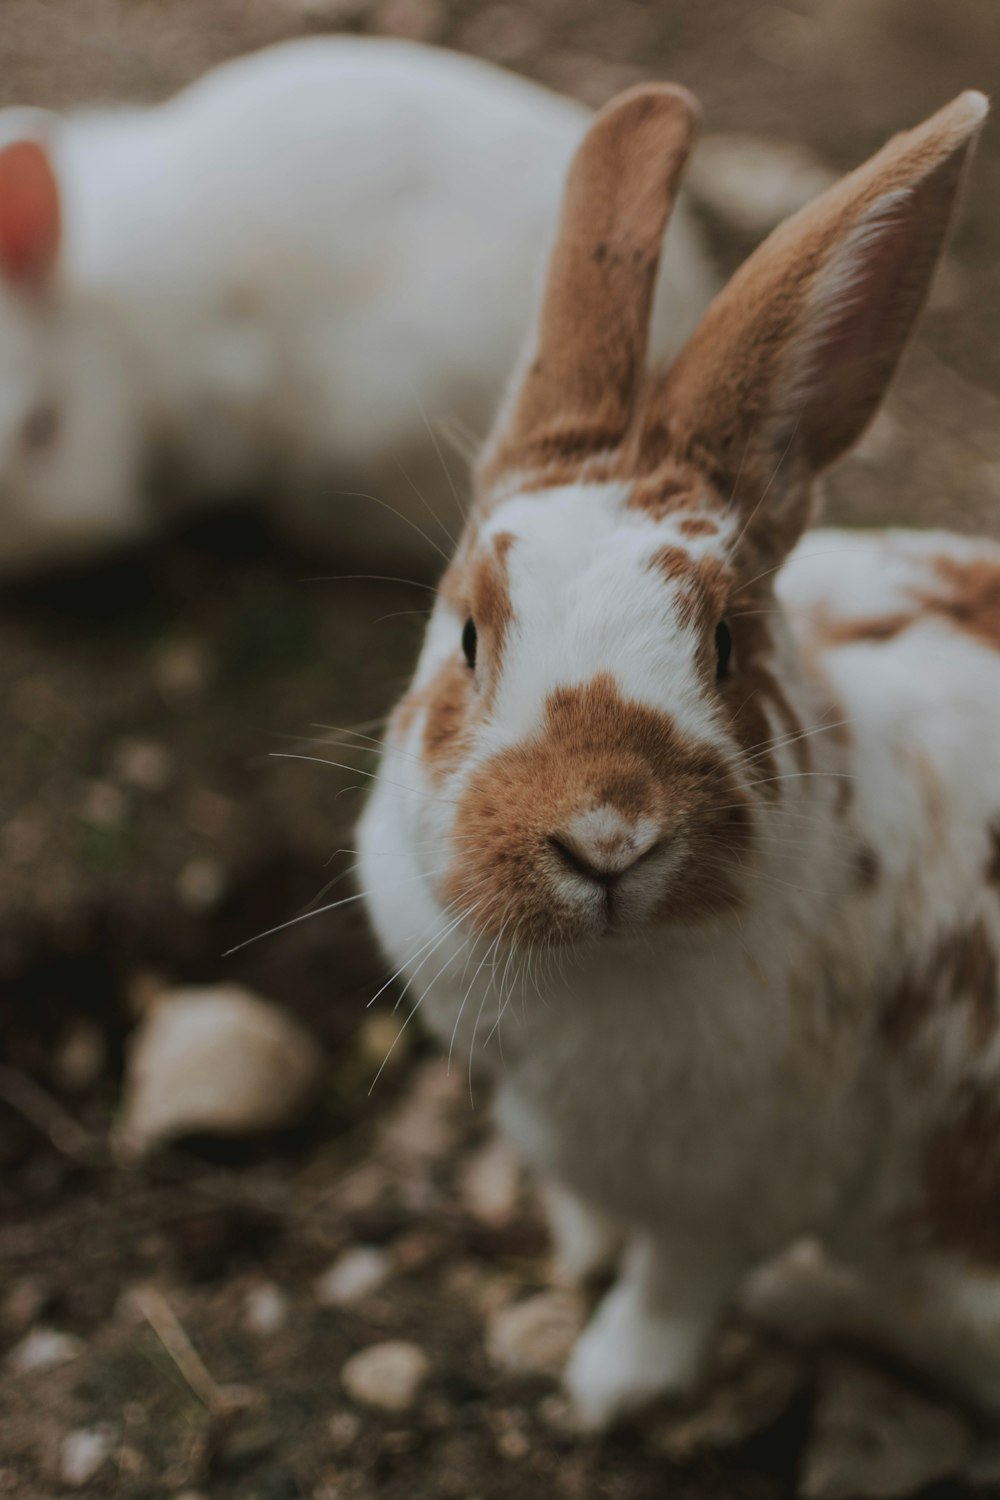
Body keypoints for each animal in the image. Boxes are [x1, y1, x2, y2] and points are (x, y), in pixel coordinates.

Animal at [358, 85, 1000, 1428]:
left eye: (724, 641)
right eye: (468, 635)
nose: (605, 836)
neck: (600, 968)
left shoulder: (740, 1189)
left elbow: (671, 1285)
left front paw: (606, 1387)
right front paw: (577, 1255)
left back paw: (809, 1300)